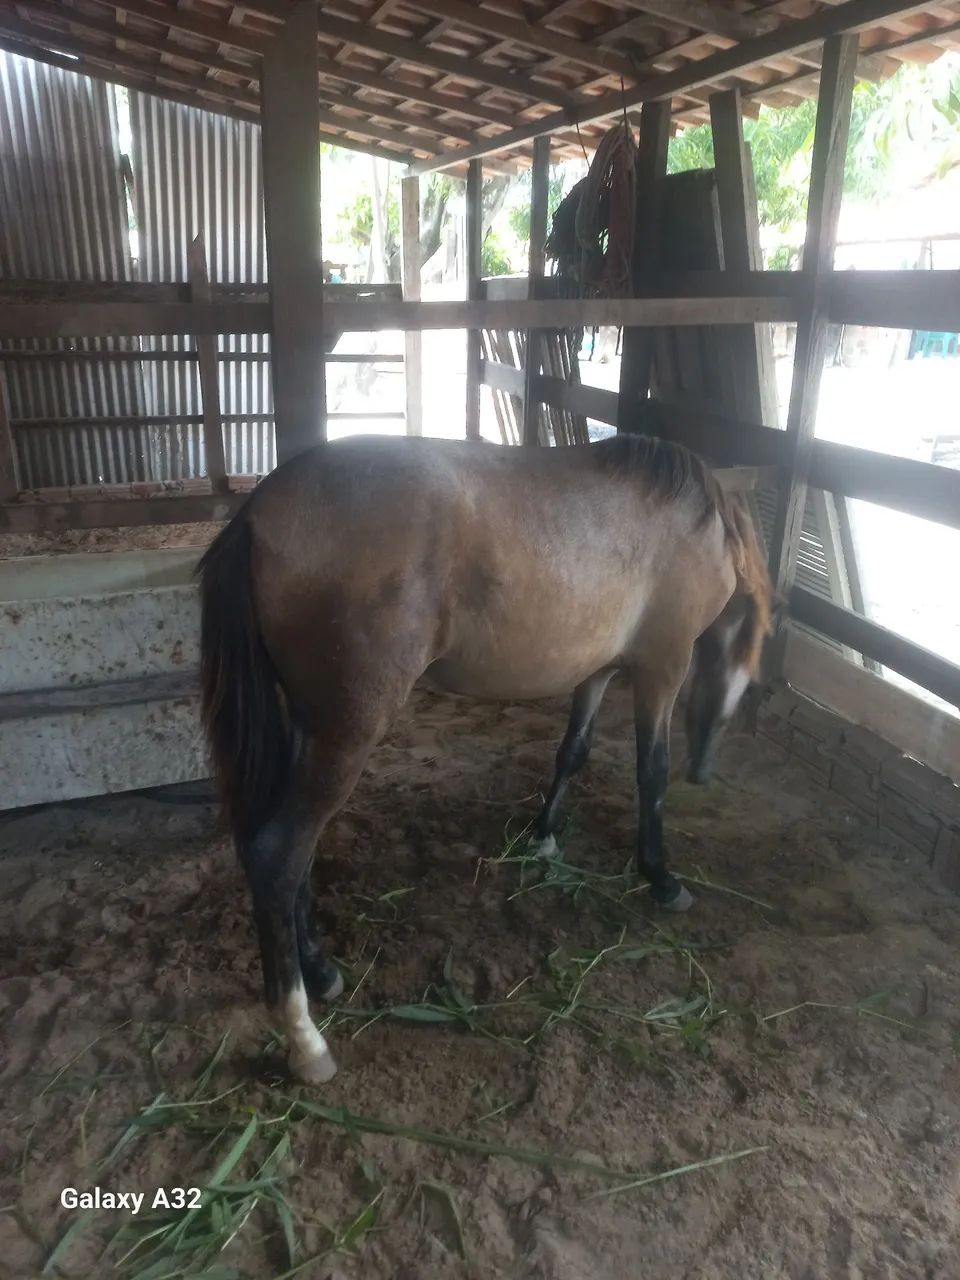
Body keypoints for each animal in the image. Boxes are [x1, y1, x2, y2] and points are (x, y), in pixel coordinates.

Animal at [198, 433, 773, 1084]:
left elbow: (573, 751)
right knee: (279, 855)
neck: (694, 524)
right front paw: (660, 875)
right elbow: (650, 774)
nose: (705, 768)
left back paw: (319, 971)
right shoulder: (663, 667)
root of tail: (259, 512)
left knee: (293, 853)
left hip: (308, 725)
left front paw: (545, 836)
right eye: (747, 673)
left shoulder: (598, 670)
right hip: (346, 730)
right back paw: (305, 1039)